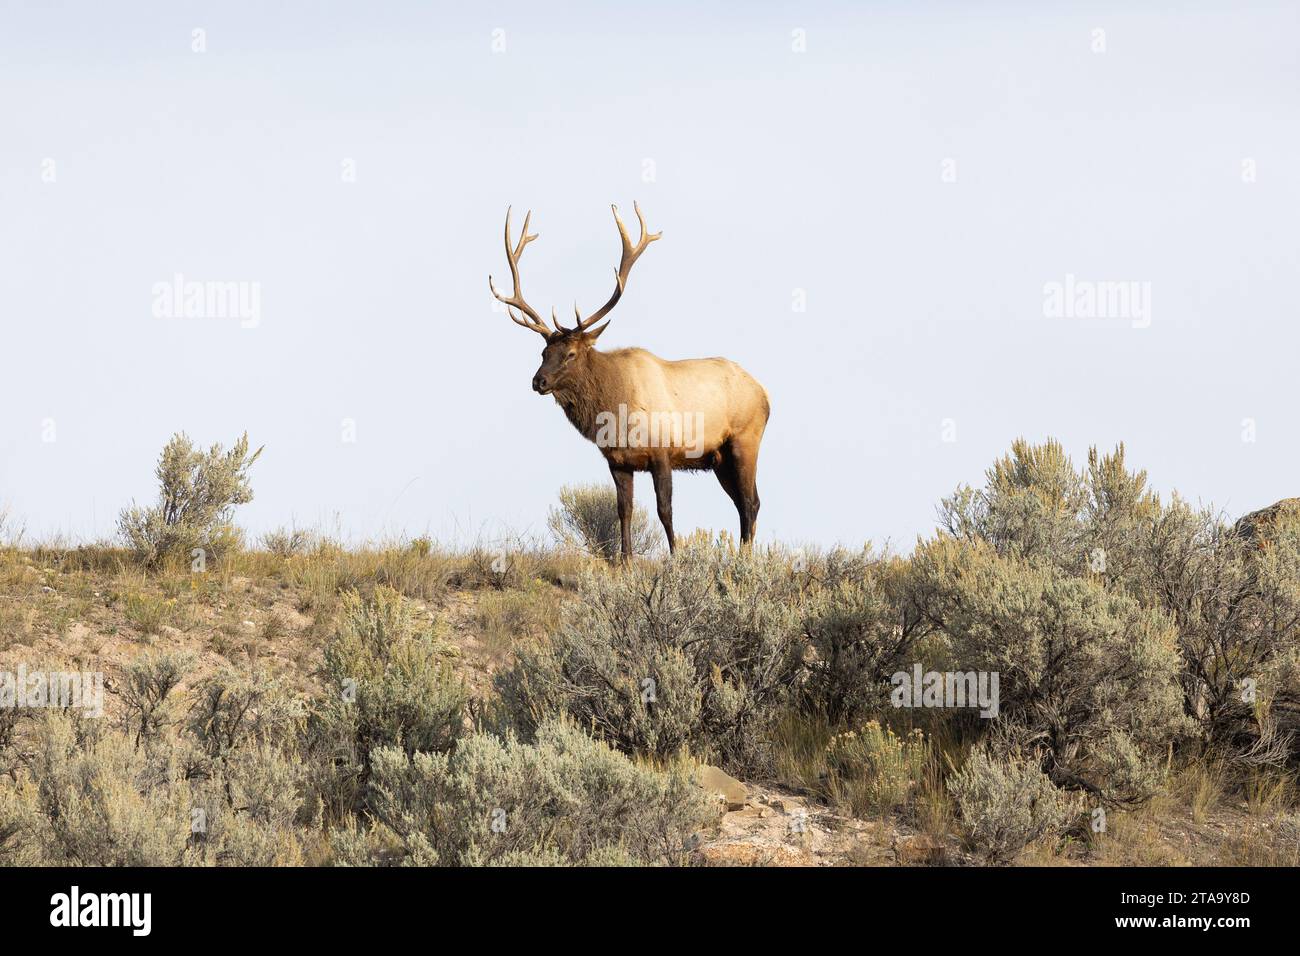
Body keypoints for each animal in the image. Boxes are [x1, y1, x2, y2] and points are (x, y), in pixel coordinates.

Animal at [488, 202, 769, 561]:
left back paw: (745, 560)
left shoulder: (663, 453)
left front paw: (675, 558)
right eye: (543, 351)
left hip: (745, 440)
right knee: (743, 503)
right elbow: (624, 510)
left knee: (750, 502)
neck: (616, 410)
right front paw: (626, 561)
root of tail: (765, 394)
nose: (539, 381)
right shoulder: (618, 461)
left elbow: (665, 510)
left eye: (571, 354)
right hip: (719, 459)